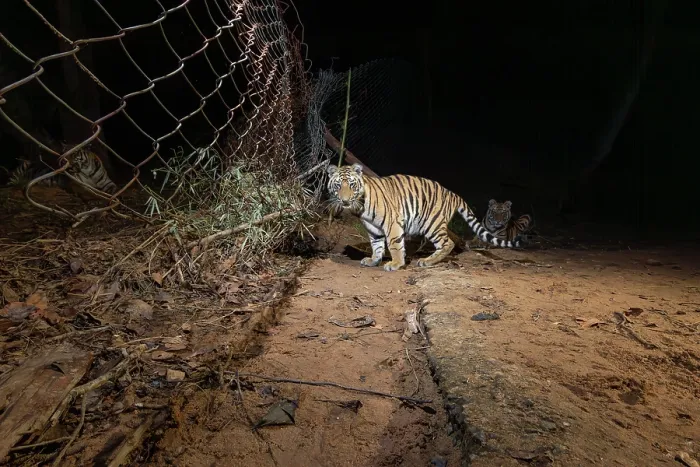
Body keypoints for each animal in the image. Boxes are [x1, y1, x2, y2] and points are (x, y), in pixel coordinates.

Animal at [326, 163, 521, 272]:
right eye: (338, 185)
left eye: (352, 185)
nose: (344, 201)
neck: (361, 207)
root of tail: (452, 193)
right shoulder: (373, 228)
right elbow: (377, 246)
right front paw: (373, 260)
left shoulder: (392, 223)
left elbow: (394, 245)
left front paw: (396, 264)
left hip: (431, 223)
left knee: (448, 243)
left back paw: (427, 261)